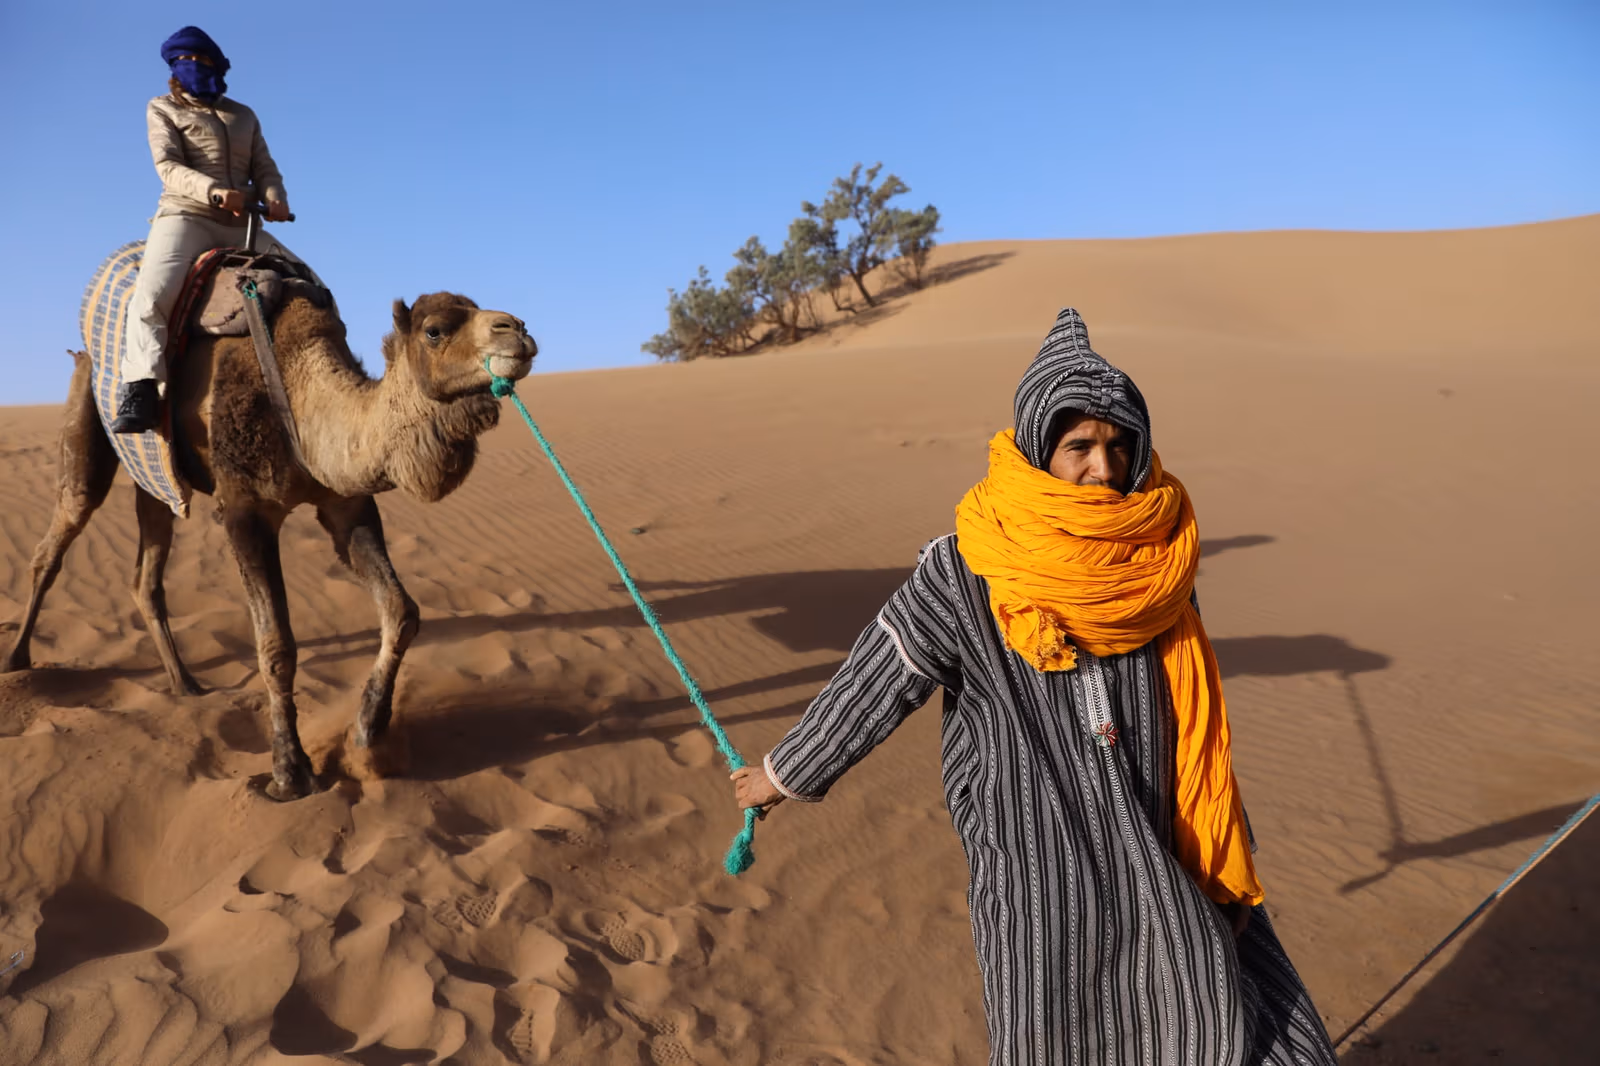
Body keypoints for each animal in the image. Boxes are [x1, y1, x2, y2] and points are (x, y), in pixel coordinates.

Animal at [3, 279, 536, 800]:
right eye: (435, 330)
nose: (518, 329)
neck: (300, 396)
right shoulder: (244, 510)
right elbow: (276, 644)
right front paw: (289, 773)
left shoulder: (344, 502)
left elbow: (401, 611)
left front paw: (367, 733)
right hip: (87, 426)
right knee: (54, 543)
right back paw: (17, 660)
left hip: (154, 475)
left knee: (145, 575)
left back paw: (185, 683)